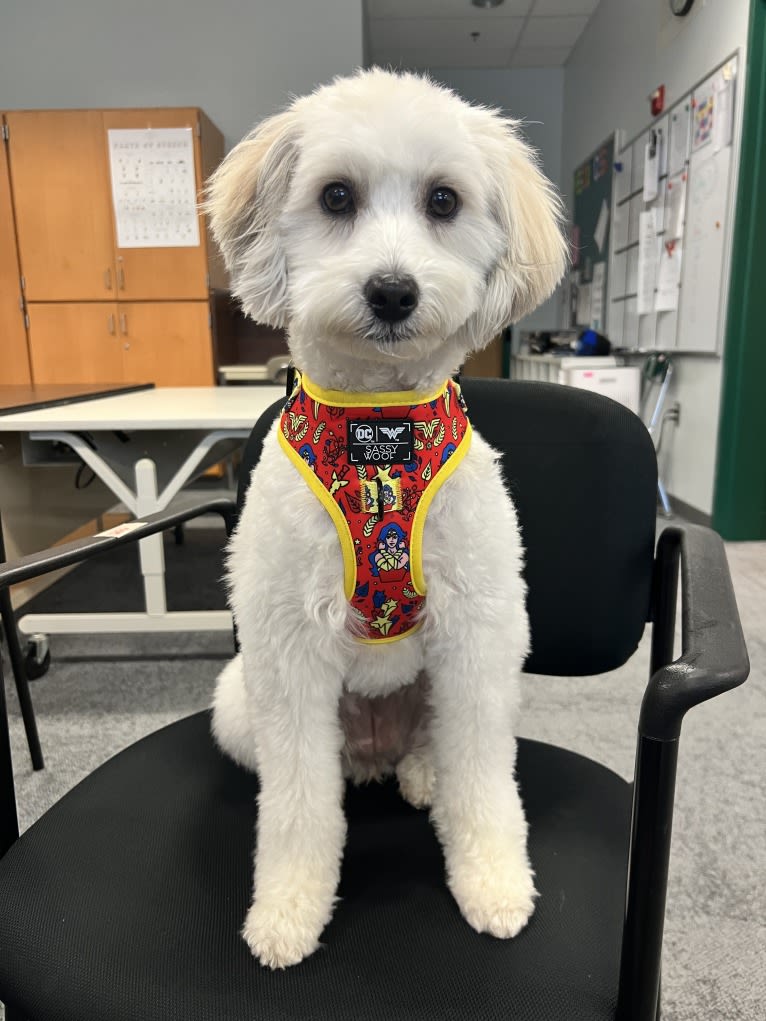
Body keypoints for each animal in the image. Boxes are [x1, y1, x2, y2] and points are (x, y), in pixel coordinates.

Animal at [207, 69, 567, 963]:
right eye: (337, 195)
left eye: (444, 200)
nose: (393, 290)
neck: (379, 429)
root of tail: (373, 748)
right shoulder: (287, 648)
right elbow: (297, 806)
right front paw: (289, 909)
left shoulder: (479, 633)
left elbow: (485, 781)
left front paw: (494, 882)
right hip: (239, 699)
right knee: (307, 768)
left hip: (468, 680)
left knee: (443, 745)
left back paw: (423, 771)